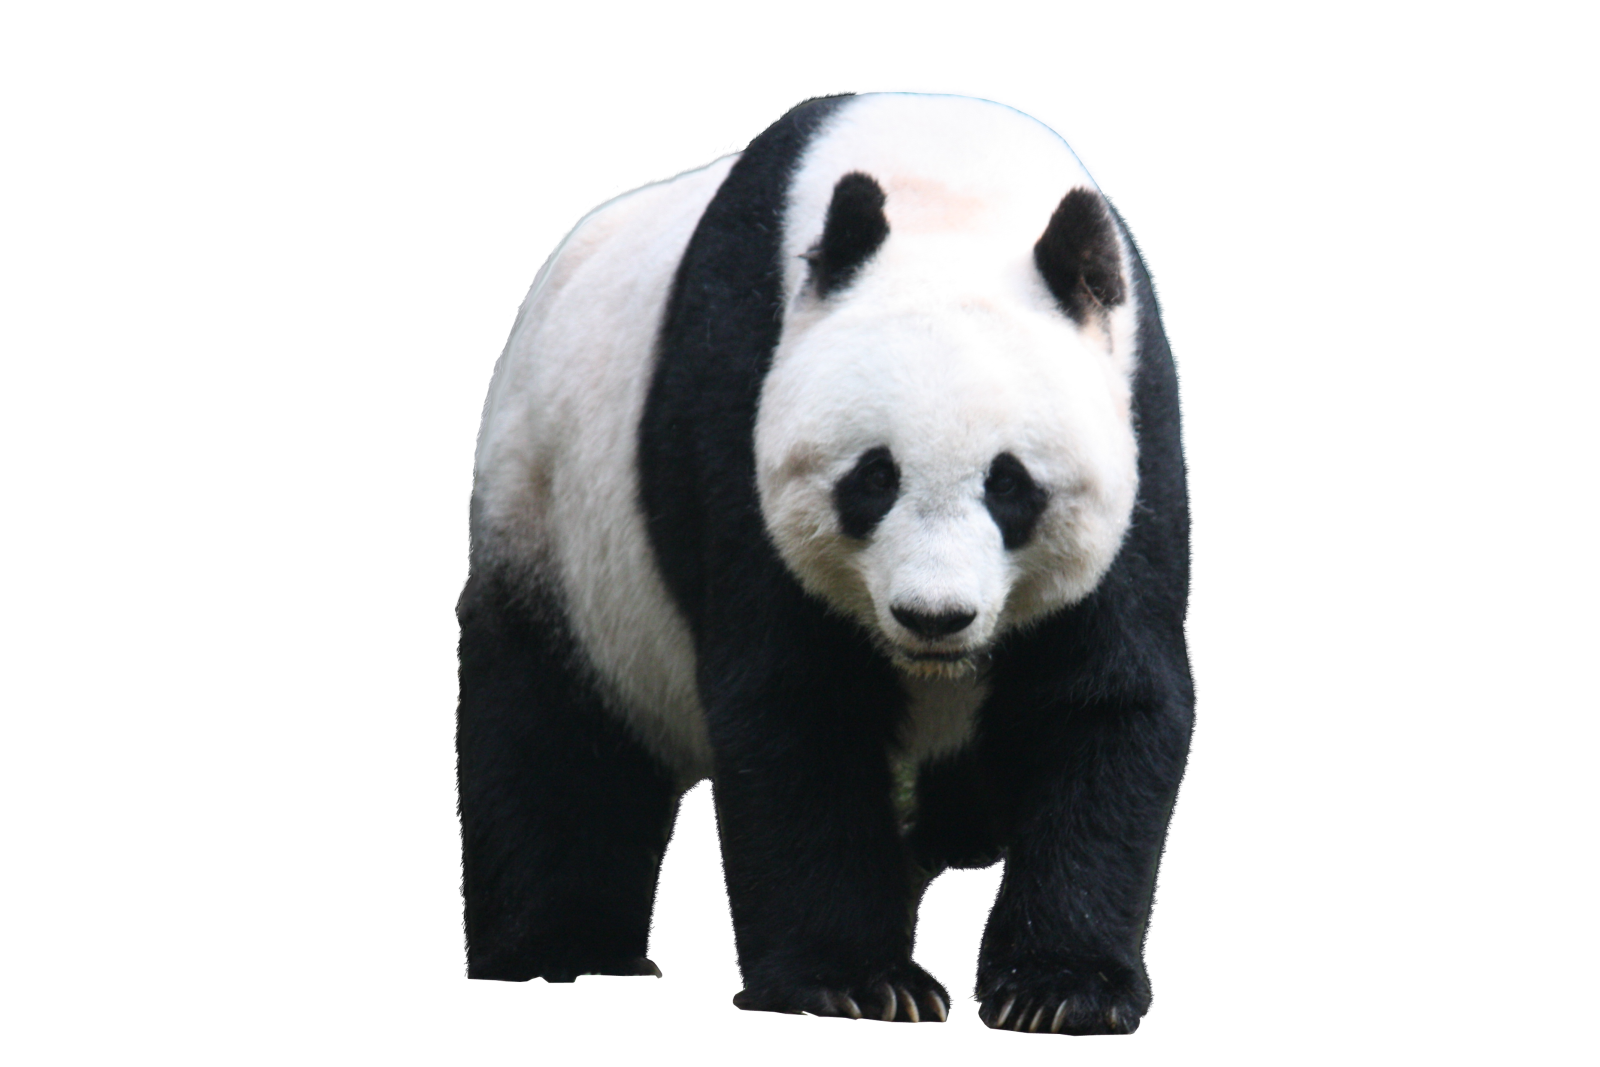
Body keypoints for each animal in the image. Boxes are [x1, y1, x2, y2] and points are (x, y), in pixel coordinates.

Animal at [457, 89, 1196, 1035]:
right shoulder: (736, 396)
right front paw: (856, 981)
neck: (949, 182)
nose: (933, 617)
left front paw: (1060, 988)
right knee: (551, 735)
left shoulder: (1138, 419)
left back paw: (959, 832)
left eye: (1011, 486)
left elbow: (1100, 697)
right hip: (553, 519)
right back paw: (563, 949)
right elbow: (797, 703)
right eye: (874, 478)